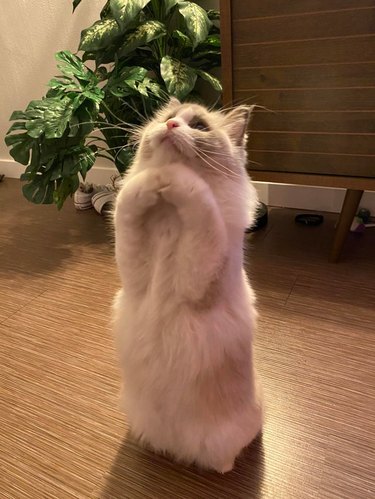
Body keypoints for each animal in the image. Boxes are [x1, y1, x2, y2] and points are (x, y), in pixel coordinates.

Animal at [113, 96, 262, 472]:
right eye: (168, 118)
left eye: (199, 126)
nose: (169, 127)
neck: (169, 212)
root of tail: (176, 451)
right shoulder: (133, 275)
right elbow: (129, 198)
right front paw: (154, 179)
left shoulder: (199, 278)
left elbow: (197, 194)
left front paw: (172, 176)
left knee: (223, 462)